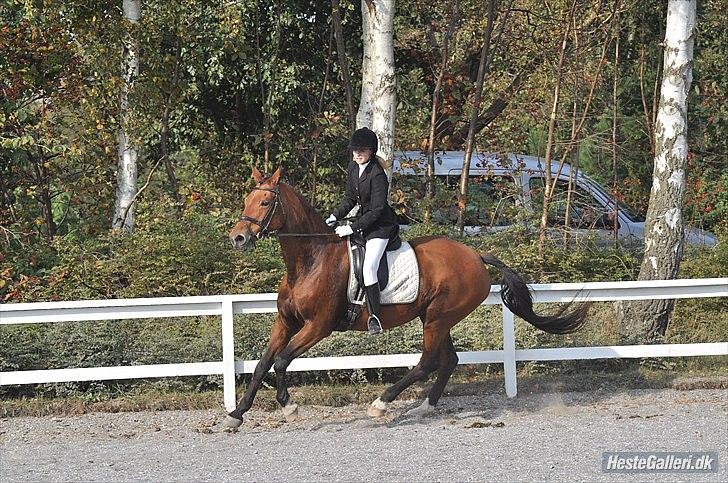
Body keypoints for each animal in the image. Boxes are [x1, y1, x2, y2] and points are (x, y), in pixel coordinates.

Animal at [225, 168, 588, 430]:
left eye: (264, 203)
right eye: (245, 199)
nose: (238, 238)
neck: (310, 259)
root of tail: (475, 254)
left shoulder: (318, 326)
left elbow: (282, 361)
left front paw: (290, 407)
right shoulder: (285, 322)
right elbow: (262, 364)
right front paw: (237, 414)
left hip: (438, 317)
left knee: (427, 362)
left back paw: (381, 404)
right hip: (437, 317)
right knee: (448, 361)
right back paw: (423, 408)